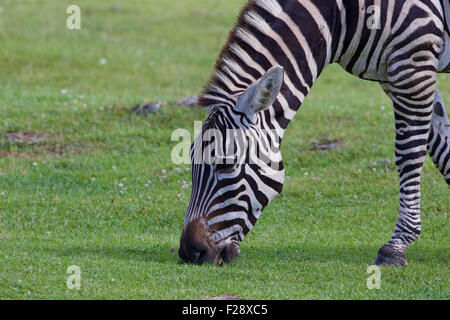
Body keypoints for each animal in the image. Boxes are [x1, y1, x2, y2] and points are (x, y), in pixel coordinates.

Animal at [178, 0, 448, 266]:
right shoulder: (393, 73)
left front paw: (396, 247)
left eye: (225, 165)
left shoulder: (413, 61)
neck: (342, 16)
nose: (189, 252)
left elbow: (409, 155)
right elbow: (441, 145)